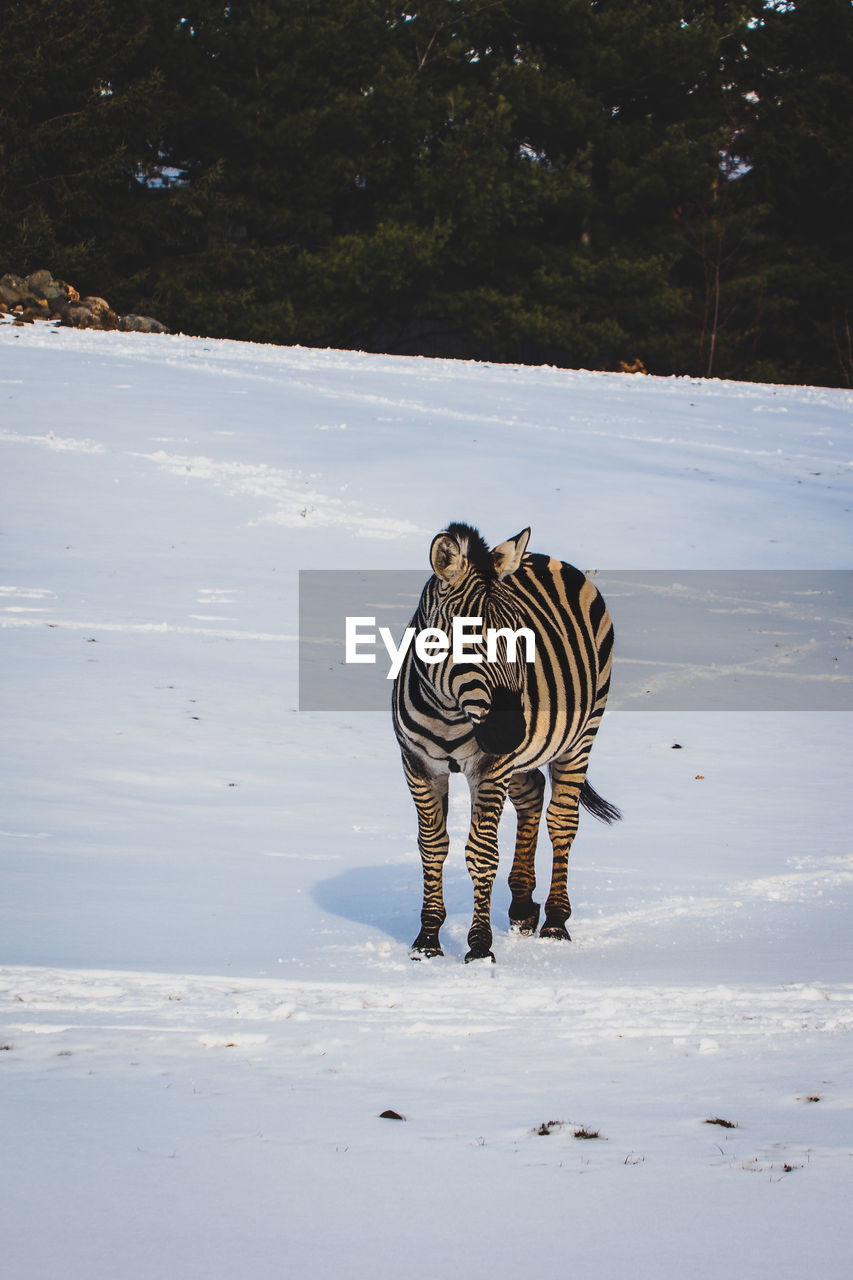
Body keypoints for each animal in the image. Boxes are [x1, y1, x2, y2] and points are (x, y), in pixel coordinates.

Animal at [391, 519, 617, 962]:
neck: (449, 710)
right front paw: (427, 941)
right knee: (532, 795)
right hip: (519, 760)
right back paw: (523, 907)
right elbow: (432, 846)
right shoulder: (418, 765)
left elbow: (481, 853)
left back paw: (555, 922)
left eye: (522, 636)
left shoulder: (489, 767)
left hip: (580, 735)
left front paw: (479, 947)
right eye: (466, 635)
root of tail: (548, 557)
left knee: (562, 821)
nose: (513, 731)